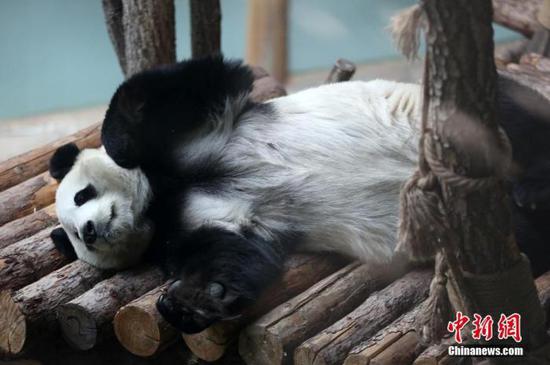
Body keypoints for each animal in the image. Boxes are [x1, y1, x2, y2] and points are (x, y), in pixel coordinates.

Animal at [49, 57, 550, 332]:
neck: (160, 200)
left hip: (439, 112)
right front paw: (194, 299)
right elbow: (238, 254)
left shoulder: (203, 130)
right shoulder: (204, 223)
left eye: (79, 197)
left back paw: (532, 186)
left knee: (509, 120)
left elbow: (191, 84)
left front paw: (120, 139)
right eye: (73, 237)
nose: (90, 230)